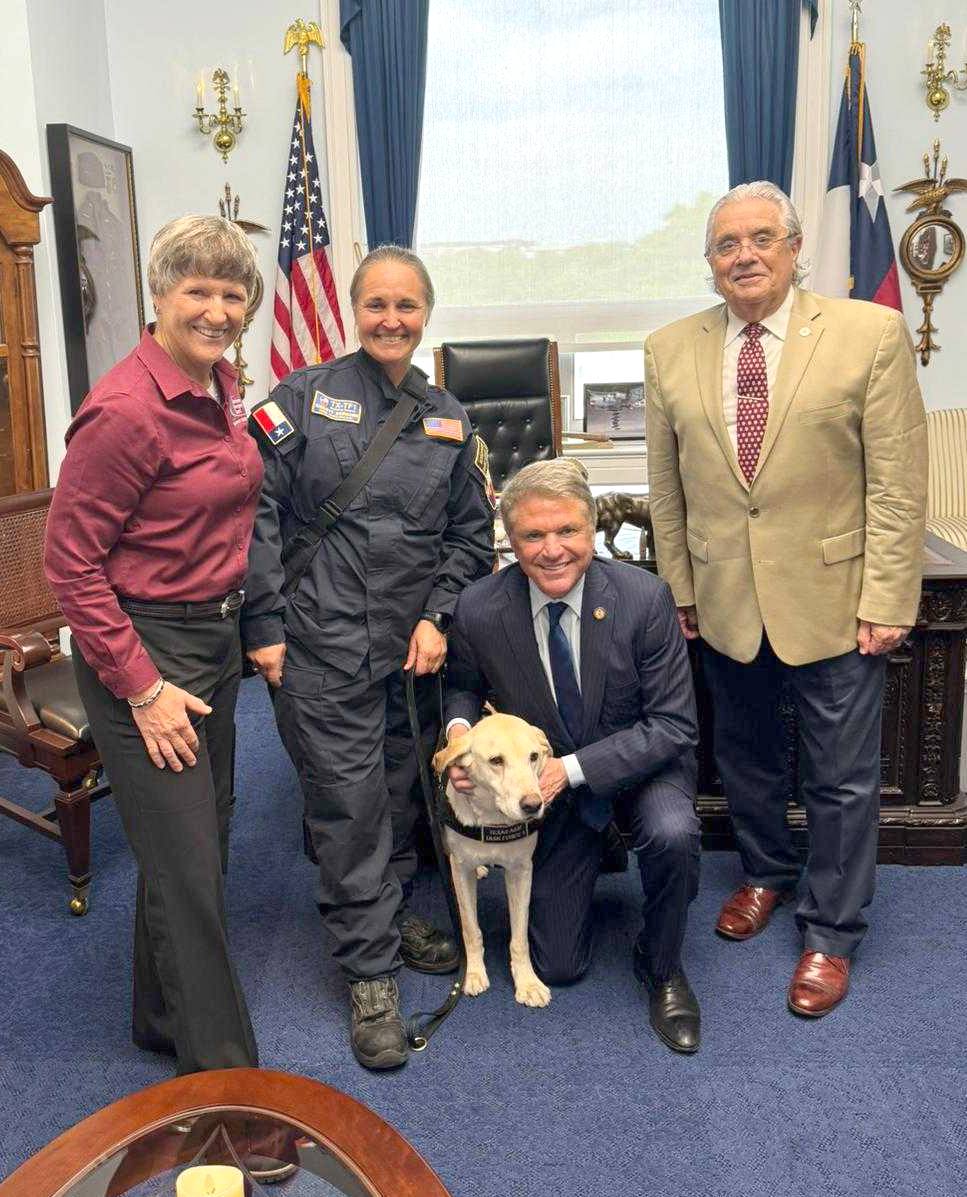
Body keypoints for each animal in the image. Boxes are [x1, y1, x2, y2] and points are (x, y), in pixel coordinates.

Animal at [433, 713, 555, 1005]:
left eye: (533, 756)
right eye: (496, 761)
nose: (533, 805)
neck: (493, 820)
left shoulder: (522, 870)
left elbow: (520, 937)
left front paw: (527, 982)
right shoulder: (461, 870)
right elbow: (470, 929)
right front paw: (474, 973)